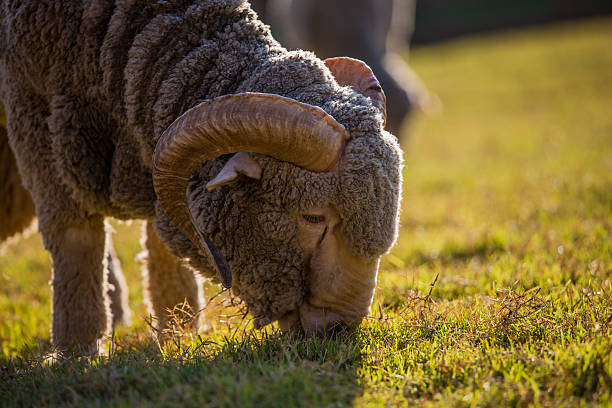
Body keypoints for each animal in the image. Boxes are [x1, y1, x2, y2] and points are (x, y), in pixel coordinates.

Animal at [1, 0, 402, 356]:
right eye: (313, 217)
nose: (340, 330)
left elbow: (161, 247)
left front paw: (177, 332)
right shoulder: (34, 113)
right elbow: (75, 237)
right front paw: (78, 348)